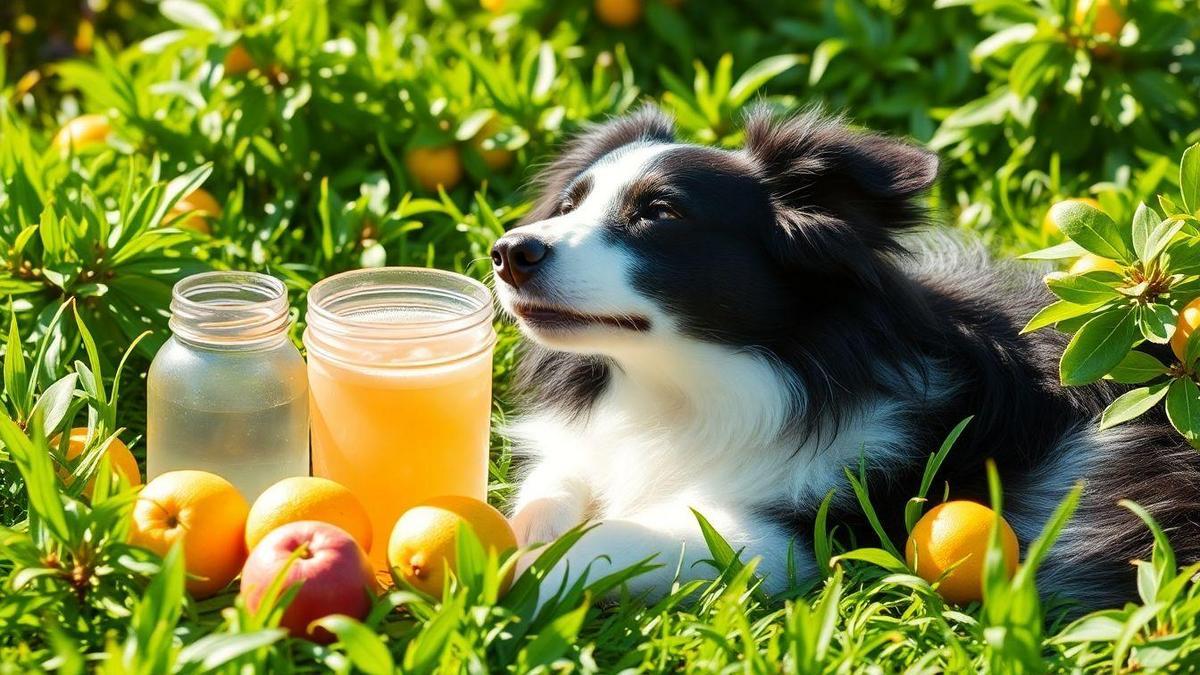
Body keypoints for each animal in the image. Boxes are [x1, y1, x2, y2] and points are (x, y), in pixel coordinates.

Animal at [487, 107, 1200, 607]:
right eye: (569, 205)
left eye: (659, 213)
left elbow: (615, 537)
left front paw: (514, 576)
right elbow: (549, 489)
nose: (509, 251)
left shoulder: (807, 528)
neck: (682, 385)